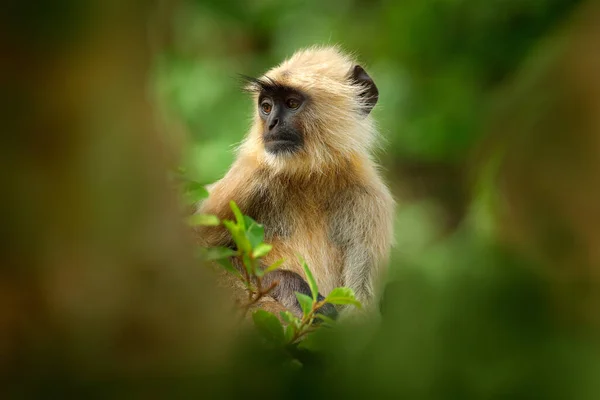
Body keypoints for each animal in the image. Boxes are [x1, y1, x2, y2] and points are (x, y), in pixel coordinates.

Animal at [195, 45, 396, 320]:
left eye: (291, 103)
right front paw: (294, 290)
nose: (271, 123)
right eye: (266, 107)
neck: (309, 176)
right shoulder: (250, 176)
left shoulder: (370, 200)